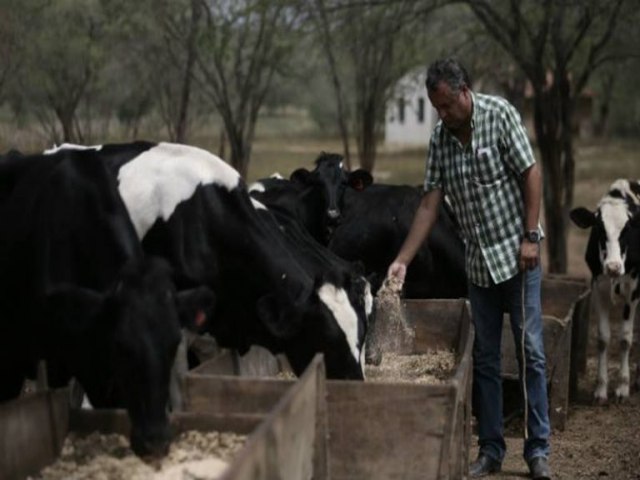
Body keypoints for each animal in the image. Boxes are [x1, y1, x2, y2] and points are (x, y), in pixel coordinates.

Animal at [568, 179, 640, 402]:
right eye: (600, 229)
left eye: (626, 230)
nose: (613, 267)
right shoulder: (598, 286)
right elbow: (602, 338)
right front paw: (600, 389)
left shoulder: (633, 290)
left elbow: (625, 339)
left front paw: (622, 387)